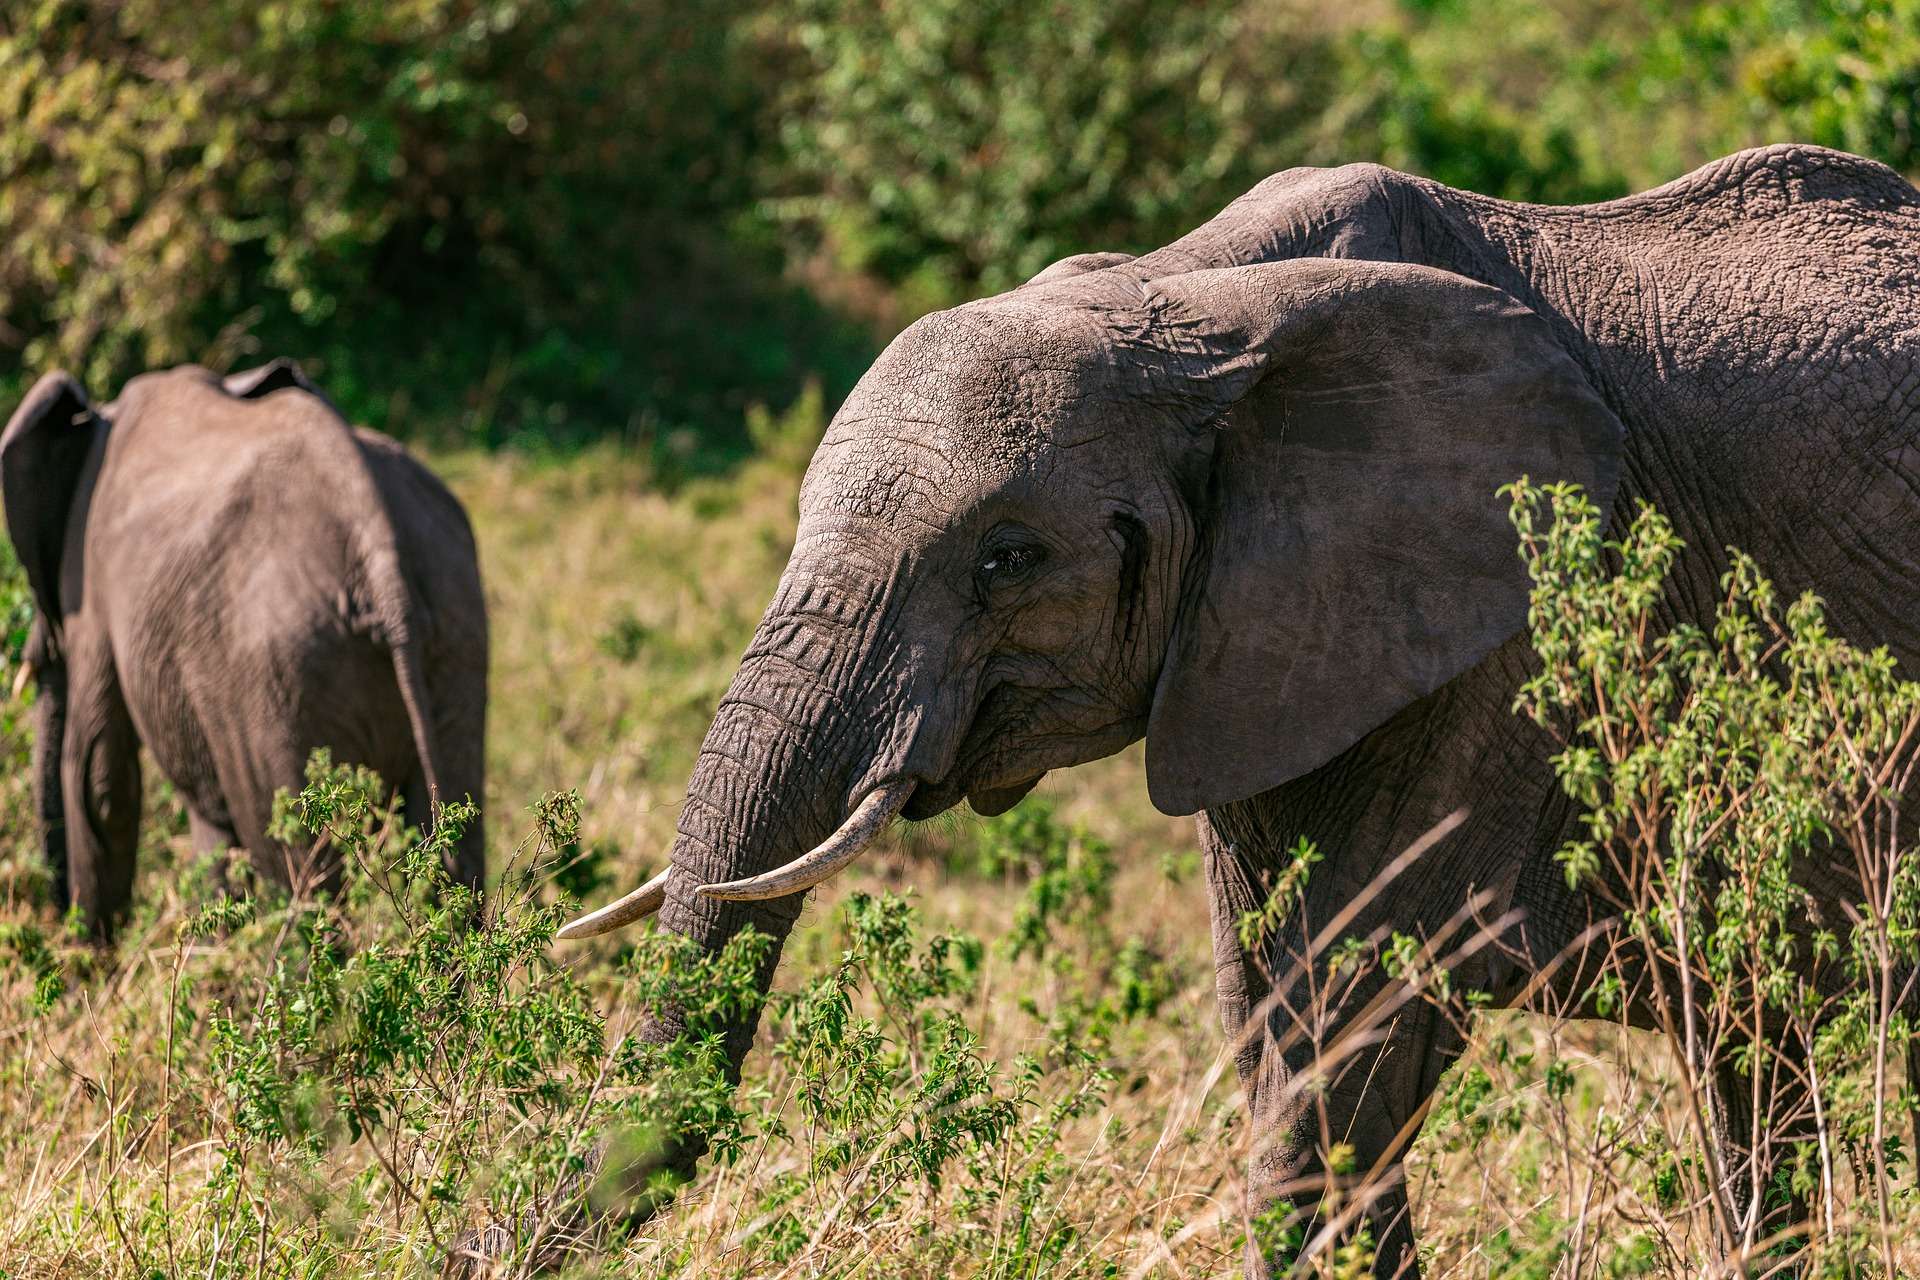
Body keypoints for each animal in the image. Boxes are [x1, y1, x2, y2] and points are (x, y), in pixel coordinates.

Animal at [2, 360, 487, 936]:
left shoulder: (91, 580)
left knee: (292, 855)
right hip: (454, 626)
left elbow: (99, 777)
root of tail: (377, 544)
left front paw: (92, 953)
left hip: (276, 673)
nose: (57, 918)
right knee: (455, 835)